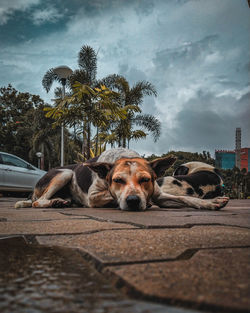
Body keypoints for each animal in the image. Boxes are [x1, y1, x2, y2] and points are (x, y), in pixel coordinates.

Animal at [14, 147, 228, 211]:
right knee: (38, 202)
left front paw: (210, 202)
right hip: (65, 173)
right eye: (117, 180)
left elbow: (186, 198)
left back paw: (62, 201)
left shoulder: (159, 195)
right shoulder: (93, 196)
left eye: (145, 180)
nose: (133, 201)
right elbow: (111, 195)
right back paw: (55, 202)